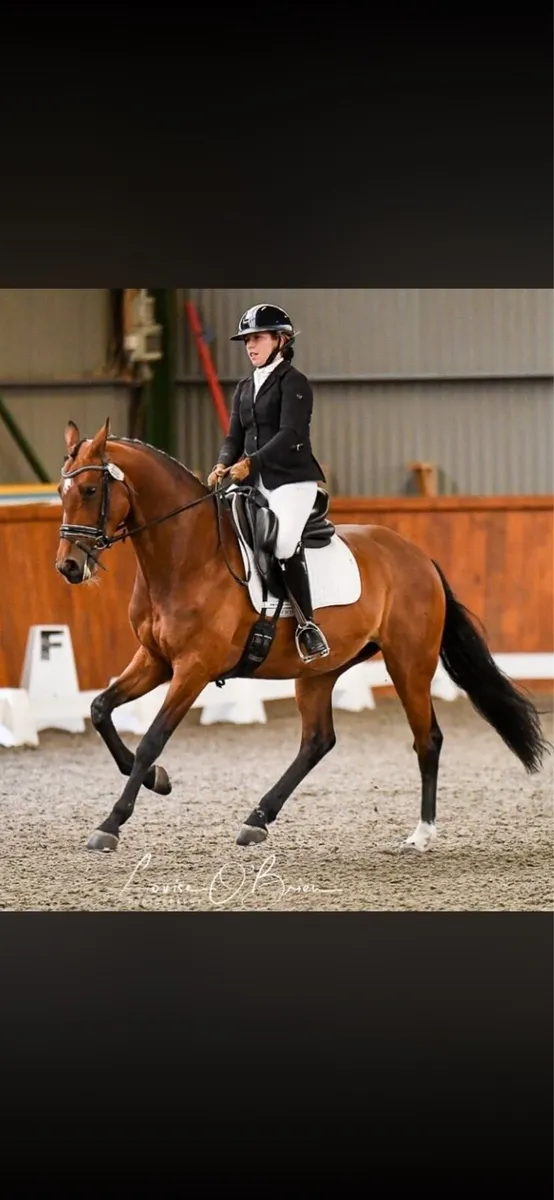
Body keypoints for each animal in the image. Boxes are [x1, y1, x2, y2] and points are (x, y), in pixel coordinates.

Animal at [54, 416, 549, 855]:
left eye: (91, 490)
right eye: (61, 492)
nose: (69, 567)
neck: (185, 554)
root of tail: (418, 557)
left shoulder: (193, 668)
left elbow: (152, 739)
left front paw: (111, 823)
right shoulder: (155, 659)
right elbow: (100, 710)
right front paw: (158, 779)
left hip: (408, 664)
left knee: (426, 739)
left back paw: (421, 835)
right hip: (319, 670)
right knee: (317, 740)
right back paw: (257, 819)